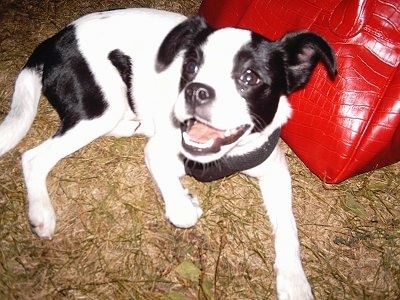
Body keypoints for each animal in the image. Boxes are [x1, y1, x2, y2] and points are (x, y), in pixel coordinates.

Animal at [0, 7, 336, 300]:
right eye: (190, 67)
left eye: (249, 78)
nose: (196, 90)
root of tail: (56, 38)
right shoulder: (158, 150)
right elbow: (182, 211)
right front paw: (184, 201)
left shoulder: (275, 169)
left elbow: (288, 228)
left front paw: (294, 281)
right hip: (100, 109)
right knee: (33, 157)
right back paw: (41, 213)